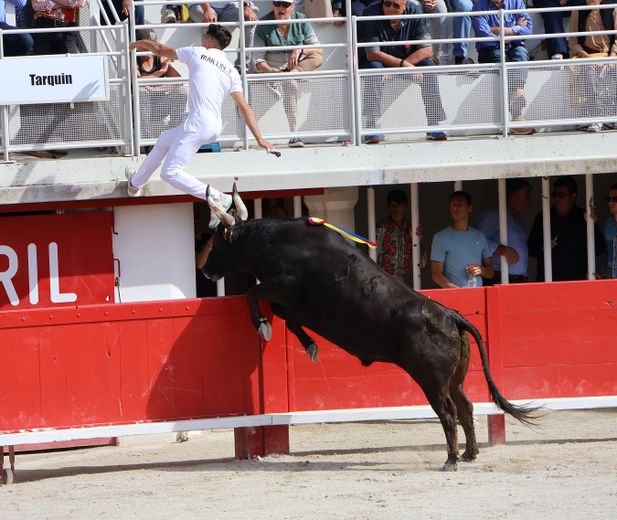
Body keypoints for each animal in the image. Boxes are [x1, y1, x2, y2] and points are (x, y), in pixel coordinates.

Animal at [203, 191, 536, 472]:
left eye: (217, 243)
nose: (206, 270)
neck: (274, 242)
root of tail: (450, 315)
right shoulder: (289, 303)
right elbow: (286, 317)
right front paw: (309, 345)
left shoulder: (282, 287)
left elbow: (253, 293)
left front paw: (263, 325)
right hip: (455, 378)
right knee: (465, 406)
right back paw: (469, 453)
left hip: (431, 378)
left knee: (448, 411)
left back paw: (451, 459)